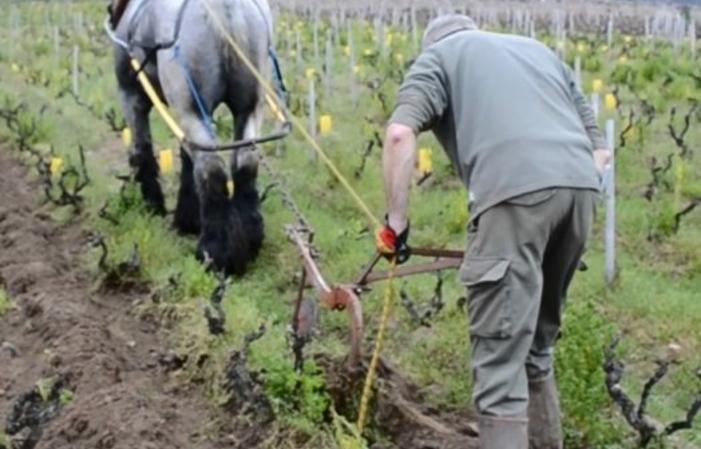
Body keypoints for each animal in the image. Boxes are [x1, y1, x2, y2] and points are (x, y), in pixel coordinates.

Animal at [106, 0, 274, 276]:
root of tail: (227, 8)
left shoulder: (131, 95)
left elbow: (142, 149)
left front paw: (152, 205)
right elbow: (186, 157)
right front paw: (187, 219)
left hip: (188, 107)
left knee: (211, 169)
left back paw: (213, 251)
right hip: (249, 107)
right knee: (245, 163)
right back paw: (250, 240)